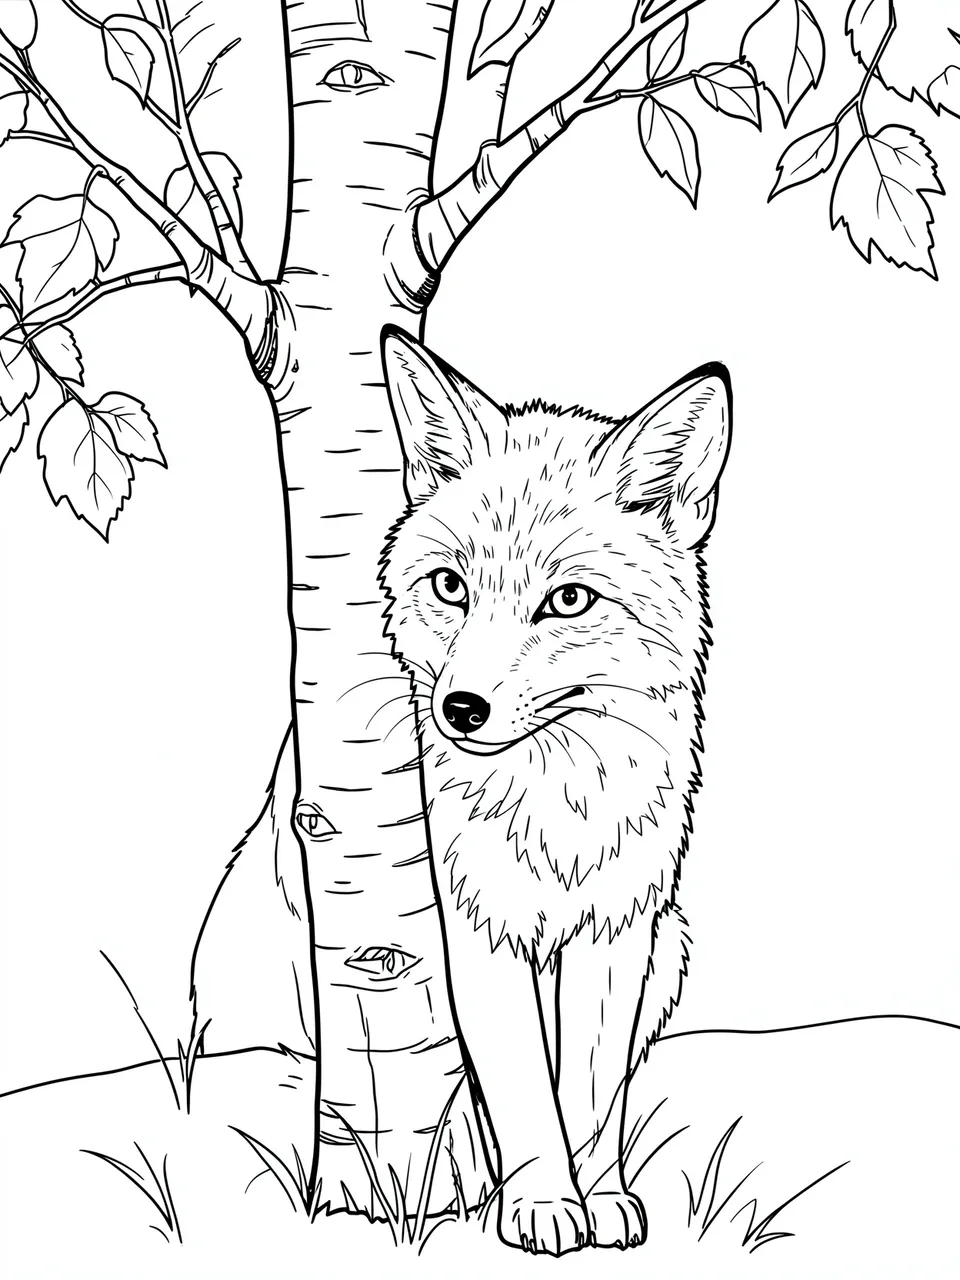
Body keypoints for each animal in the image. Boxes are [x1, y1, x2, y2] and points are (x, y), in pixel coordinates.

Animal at [379, 327, 732, 1256]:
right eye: (451, 586)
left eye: (567, 600)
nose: (461, 709)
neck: (558, 814)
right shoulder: (479, 930)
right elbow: (526, 1091)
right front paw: (541, 1203)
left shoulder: (619, 932)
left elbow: (591, 1093)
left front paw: (596, 1198)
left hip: (673, 947)